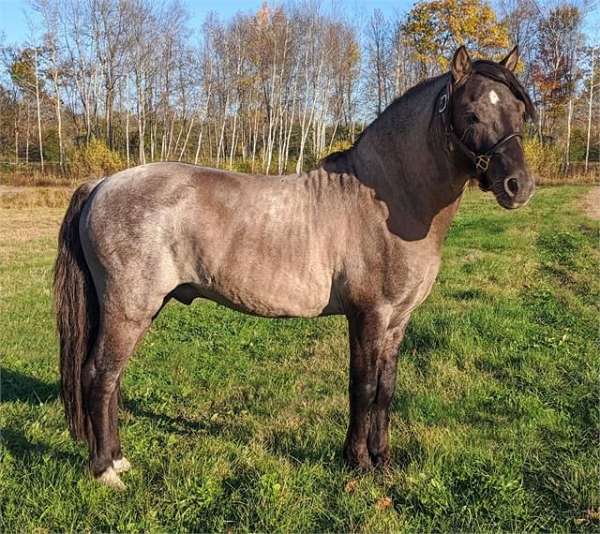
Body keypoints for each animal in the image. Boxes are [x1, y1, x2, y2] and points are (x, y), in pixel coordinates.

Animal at [55, 46, 536, 490]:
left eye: (518, 111)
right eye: (472, 113)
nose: (520, 186)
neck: (387, 202)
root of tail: (102, 184)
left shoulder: (398, 320)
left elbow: (385, 391)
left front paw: (383, 461)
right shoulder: (368, 316)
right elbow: (362, 387)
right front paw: (357, 463)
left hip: (140, 308)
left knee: (112, 379)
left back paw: (118, 460)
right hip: (128, 308)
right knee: (100, 376)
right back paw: (106, 472)